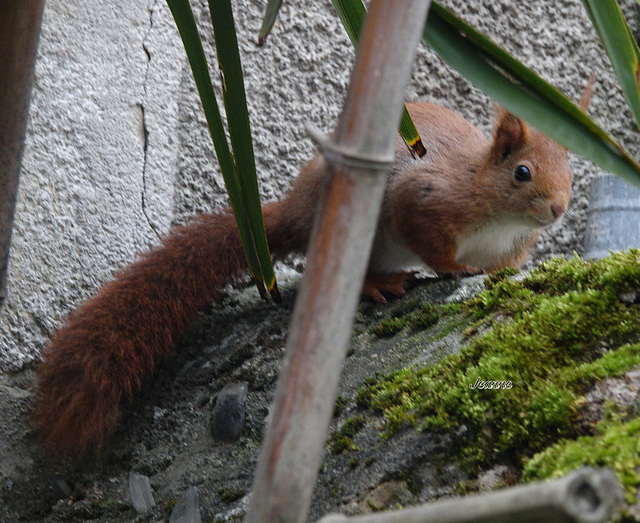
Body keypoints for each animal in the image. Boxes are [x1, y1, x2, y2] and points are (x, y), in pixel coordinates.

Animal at [33, 102, 576, 454]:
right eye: (522, 172)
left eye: (571, 169)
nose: (558, 209)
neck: (499, 216)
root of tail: (295, 213)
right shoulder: (425, 198)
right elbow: (433, 243)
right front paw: (455, 268)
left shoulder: (510, 245)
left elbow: (503, 267)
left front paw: (500, 275)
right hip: (352, 227)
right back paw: (376, 283)